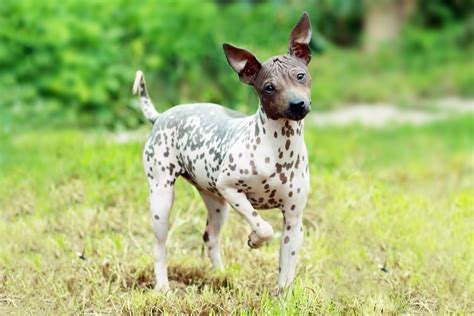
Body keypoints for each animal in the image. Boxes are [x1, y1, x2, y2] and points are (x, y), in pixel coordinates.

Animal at [131, 12, 312, 294]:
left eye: (300, 75)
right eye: (269, 87)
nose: (297, 105)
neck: (279, 149)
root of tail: (160, 116)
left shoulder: (293, 221)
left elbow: (286, 268)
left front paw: (282, 296)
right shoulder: (231, 189)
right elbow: (264, 227)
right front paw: (254, 239)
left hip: (216, 203)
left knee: (210, 238)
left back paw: (222, 276)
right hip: (162, 198)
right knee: (160, 246)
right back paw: (163, 287)